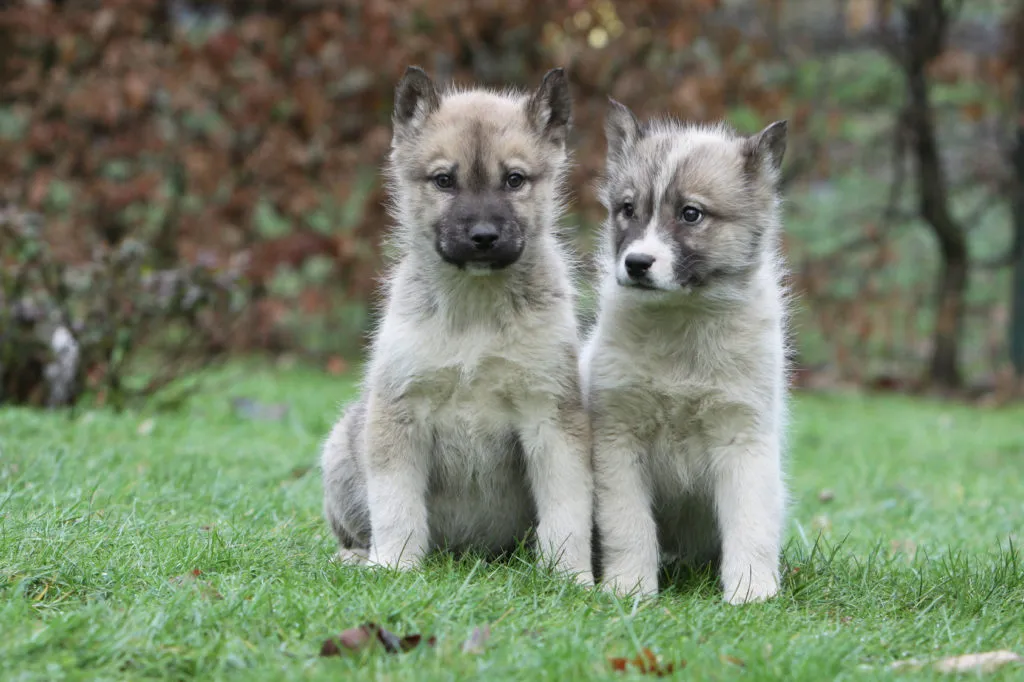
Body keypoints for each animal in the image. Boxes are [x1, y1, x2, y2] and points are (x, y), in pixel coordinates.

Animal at [319, 66, 593, 581]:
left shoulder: (550, 416)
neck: (475, 314)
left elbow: (567, 512)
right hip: (342, 449)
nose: (483, 237)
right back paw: (356, 555)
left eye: (514, 180)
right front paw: (395, 566)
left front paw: (573, 578)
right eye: (444, 180)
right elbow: (396, 507)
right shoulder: (399, 410)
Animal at [581, 100, 786, 602]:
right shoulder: (619, 440)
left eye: (691, 214)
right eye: (627, 209)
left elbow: (751, 524)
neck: (681, 324)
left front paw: (751, 592)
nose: (636, 263)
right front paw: (629, 588)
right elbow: (628, 525)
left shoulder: (742, 437)